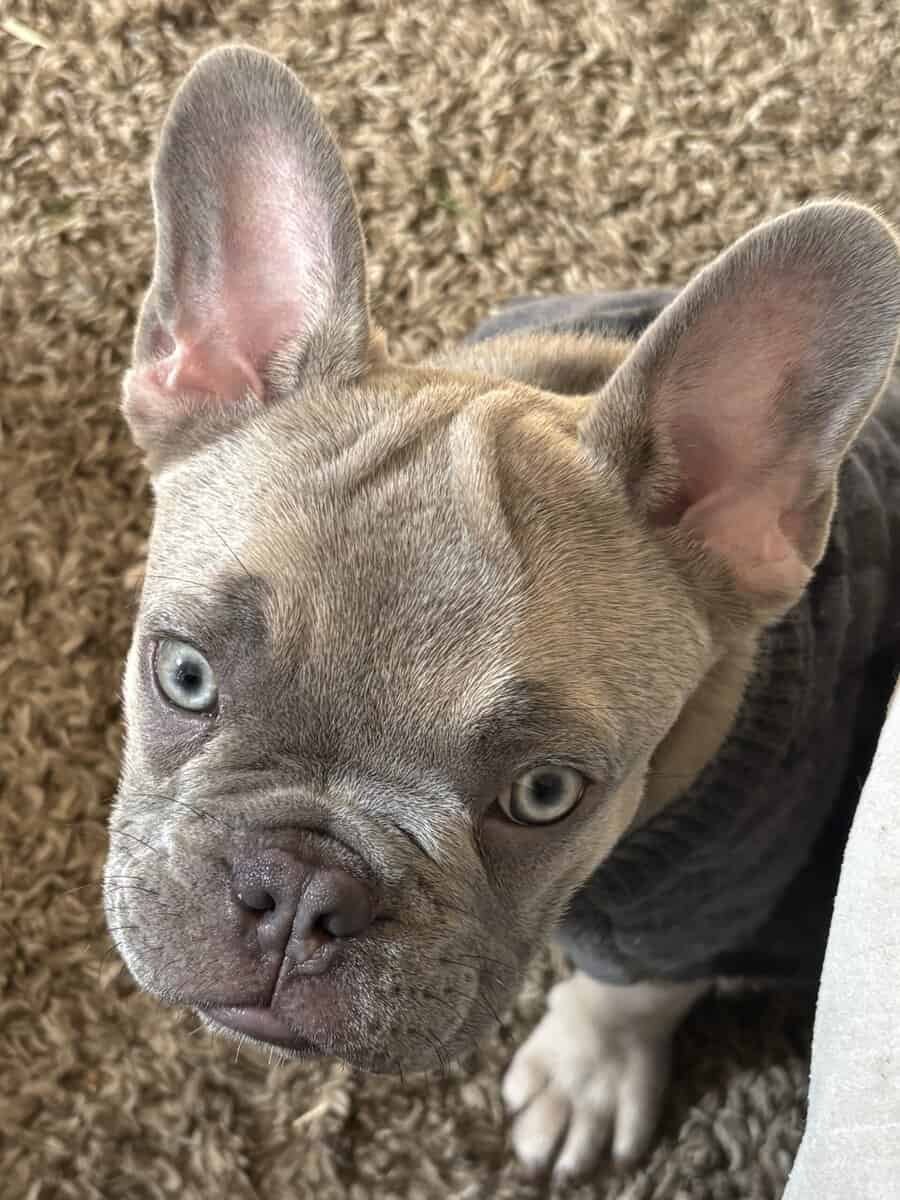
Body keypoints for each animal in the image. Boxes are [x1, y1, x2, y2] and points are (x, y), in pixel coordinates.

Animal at [103, 45, 900, 1179]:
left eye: (545, 794)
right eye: (183, 674)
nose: (299, 891)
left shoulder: (703, 893)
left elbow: (632, 984)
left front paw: (585, 1070)